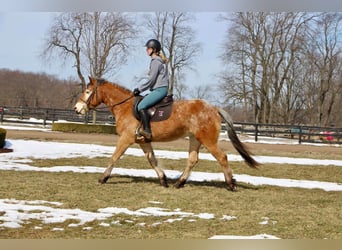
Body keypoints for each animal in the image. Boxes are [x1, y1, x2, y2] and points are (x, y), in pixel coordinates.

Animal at [73, 77, 260, 190]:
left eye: (88, 92)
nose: (76, 108)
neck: (124, 107)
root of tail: (214, 108)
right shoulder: (143, 141)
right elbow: (152, 160)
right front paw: (163, 180)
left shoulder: (126, 139)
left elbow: (114, 157)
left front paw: (103, 178)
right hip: (195, 139)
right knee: (193, 160)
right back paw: (179, 182)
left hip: (208, 140)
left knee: (222, 157)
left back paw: (230, 184)